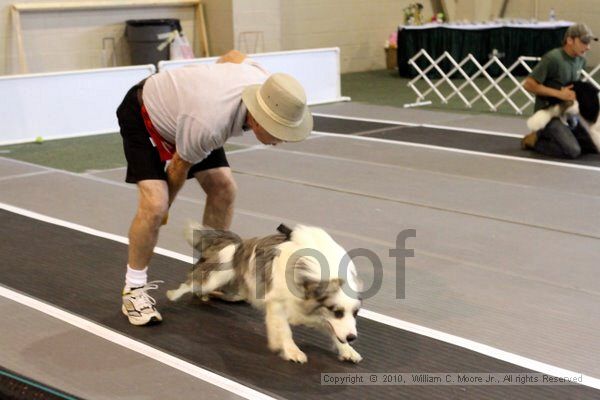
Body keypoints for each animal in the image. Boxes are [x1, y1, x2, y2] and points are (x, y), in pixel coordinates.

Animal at [165, 223, 360, 364]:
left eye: (356, 313)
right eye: (337, 311)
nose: (353, 338)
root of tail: (238, 244)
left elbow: (335, 330)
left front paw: (348, 351)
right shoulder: (277, 303)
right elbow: (285, 330)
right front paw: (292, 351)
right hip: (214, 277)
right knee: (193, 281)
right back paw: (174, 294)